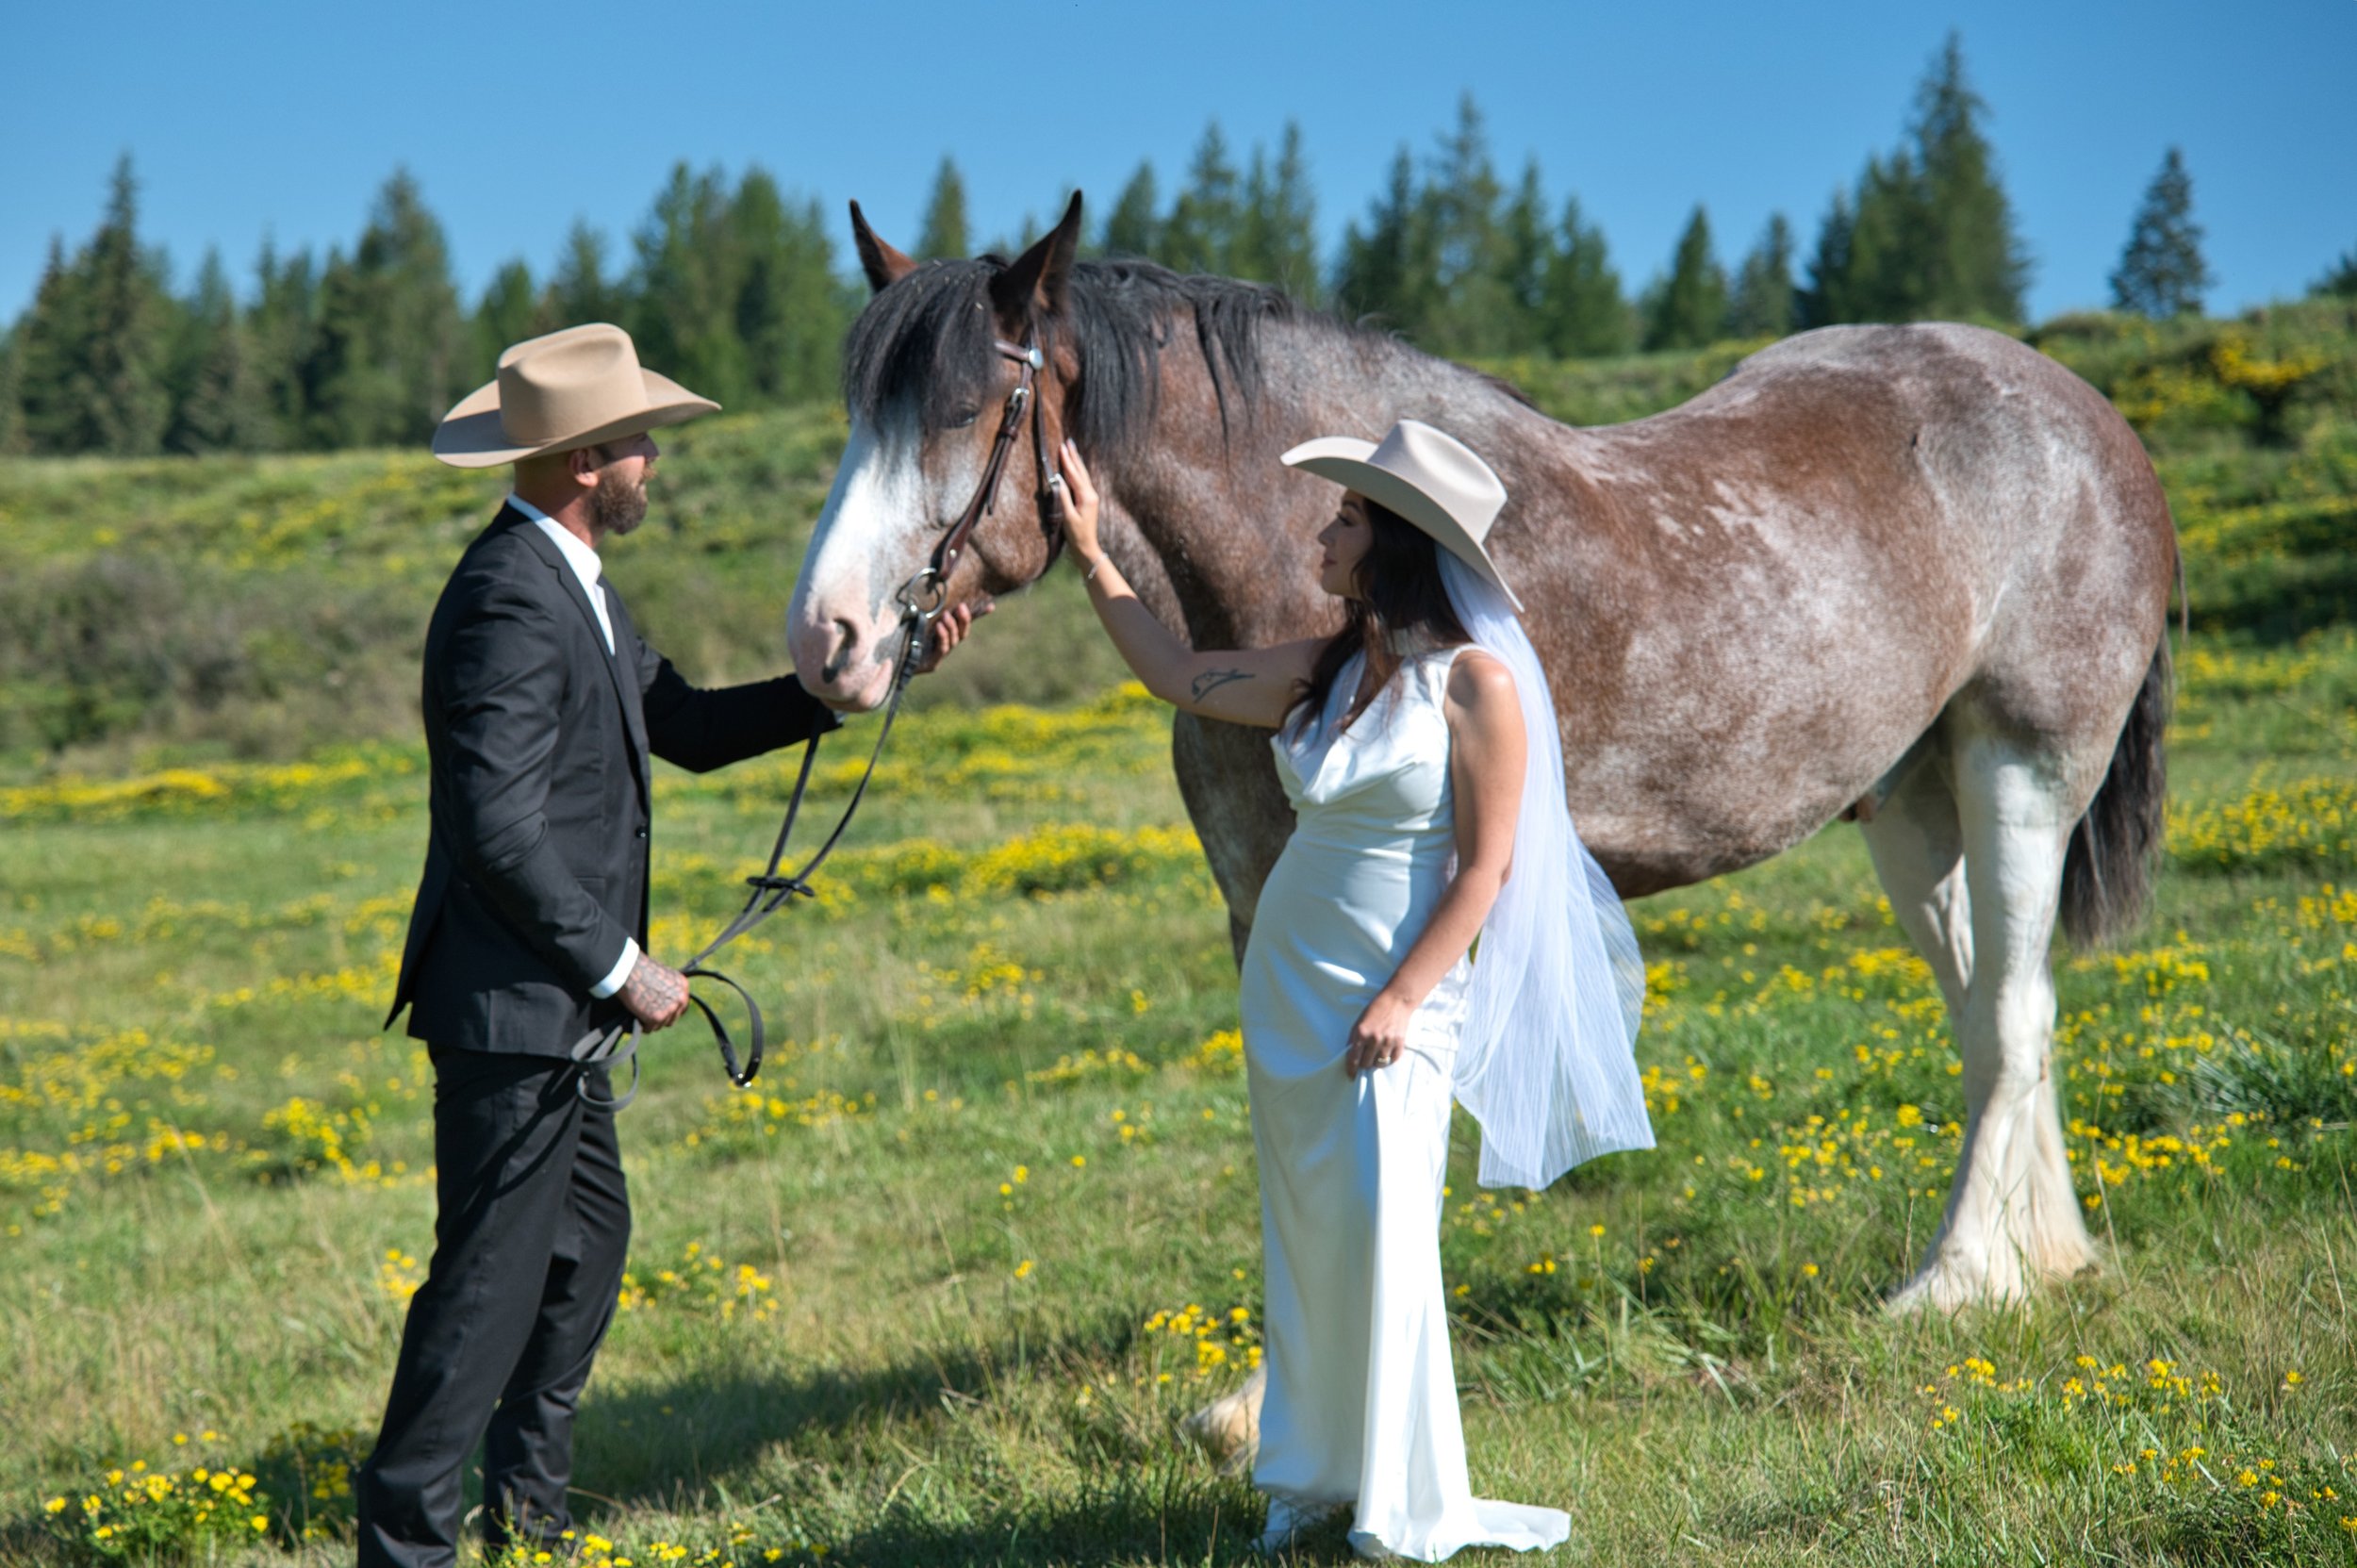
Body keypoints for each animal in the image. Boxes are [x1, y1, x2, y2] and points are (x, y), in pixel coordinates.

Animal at [787, 194, 2177, 1460]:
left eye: (968, 408)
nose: (827, 641)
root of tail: (2082, 415)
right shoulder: (1261, 912)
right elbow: (1288, 1131)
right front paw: (1269, 1398)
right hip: (1913, 800)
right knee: (1999, 1003)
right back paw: (2039, 1259)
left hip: (2021, 765)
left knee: (2010, 1015)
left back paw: (1954, 1280)